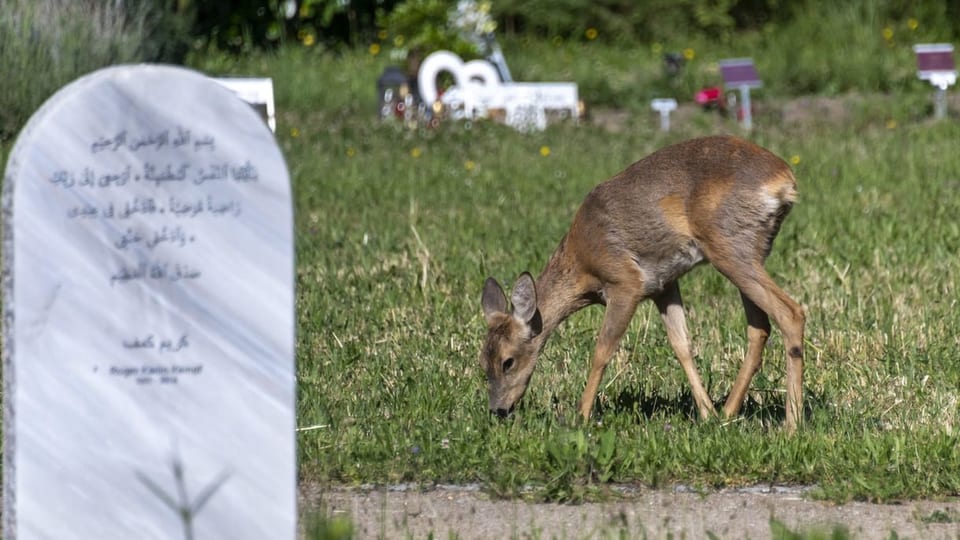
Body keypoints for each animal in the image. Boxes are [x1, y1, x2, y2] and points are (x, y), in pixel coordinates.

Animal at [478, 136, 804, 434]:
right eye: (483, 361)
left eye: (508, 361)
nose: (498, 410)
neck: (583, 264)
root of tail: (784, 181)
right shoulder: (664, 285)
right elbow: (682, 345)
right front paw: (706, 413)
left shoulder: (625, 282)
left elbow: (602, 350)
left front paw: (581, 416)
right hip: (751, 250)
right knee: (760, 327)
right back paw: (727, 413)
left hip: (729, 246)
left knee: (791, 312)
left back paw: (791, 425)